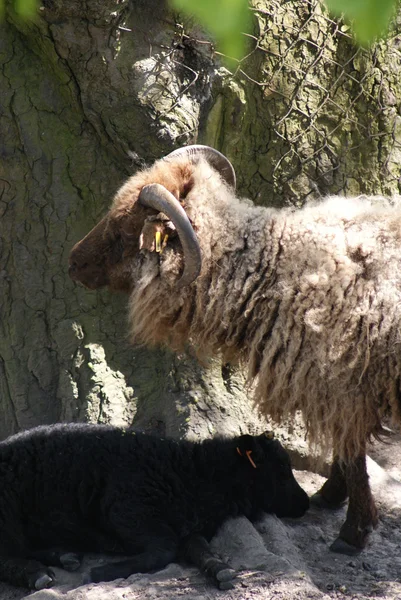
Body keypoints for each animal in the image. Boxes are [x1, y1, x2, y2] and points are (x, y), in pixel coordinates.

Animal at [69, 144, 401, 552]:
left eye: (123, 230)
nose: (72, 262)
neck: (279, 268)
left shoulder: (343, 383)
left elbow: (352, 455)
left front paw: (353, 532)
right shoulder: (340, 388)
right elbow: (346, 449)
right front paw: (330, 496)